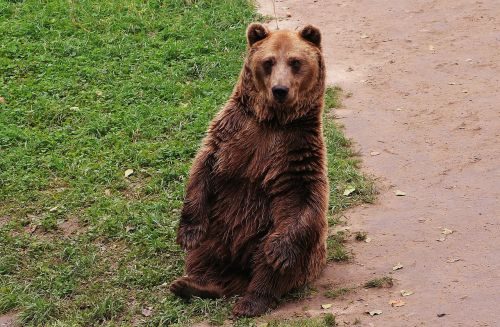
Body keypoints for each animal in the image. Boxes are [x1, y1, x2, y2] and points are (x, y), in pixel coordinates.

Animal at [170, 22, 330, 318]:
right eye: (268, 62)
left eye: (296, 62)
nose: (280, 89)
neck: (272, 121)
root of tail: (240, 268)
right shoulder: (231, 133)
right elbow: (203, 168)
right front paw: (187, 233)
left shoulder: (297, 151)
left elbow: (305, 198)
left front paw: (279, 252)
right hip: (218, 226)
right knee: (204, 254)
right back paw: (193, 284)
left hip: (267, 233)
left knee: (268, 265)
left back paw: (251, 300)